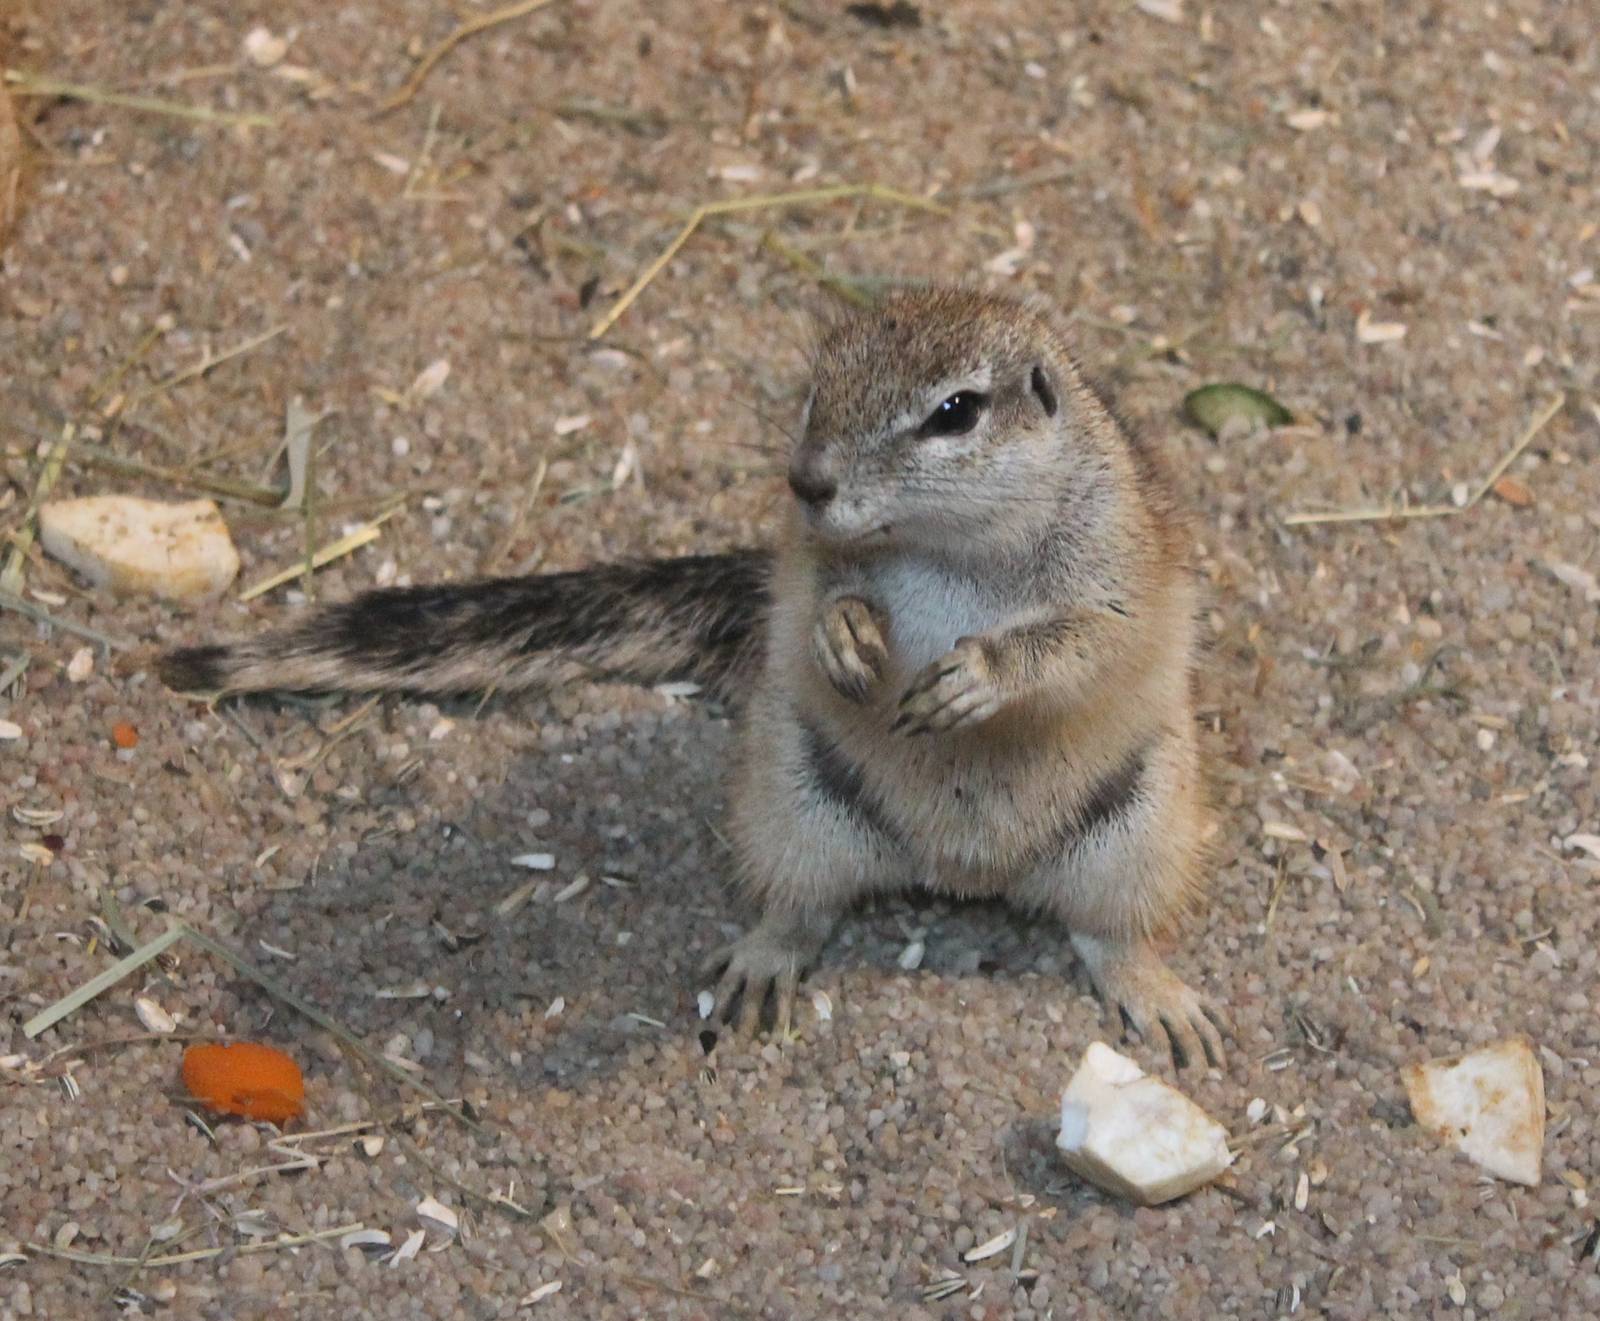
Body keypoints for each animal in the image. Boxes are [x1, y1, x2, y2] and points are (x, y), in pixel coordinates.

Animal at [160, 286, 1226, 1069]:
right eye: (814, 390)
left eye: (955, 413)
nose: (806, 481)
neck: (947, 547)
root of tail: (959, 878)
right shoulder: (800, 564)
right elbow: (810, 607)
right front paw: (846, 638)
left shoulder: (1119, 571)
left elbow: (1082, 643)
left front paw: (978, 675)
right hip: (795, 807)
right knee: (798, 909)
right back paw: (761, 963)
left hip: (1136, 833)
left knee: (1108, 936)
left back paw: (1159, 997)